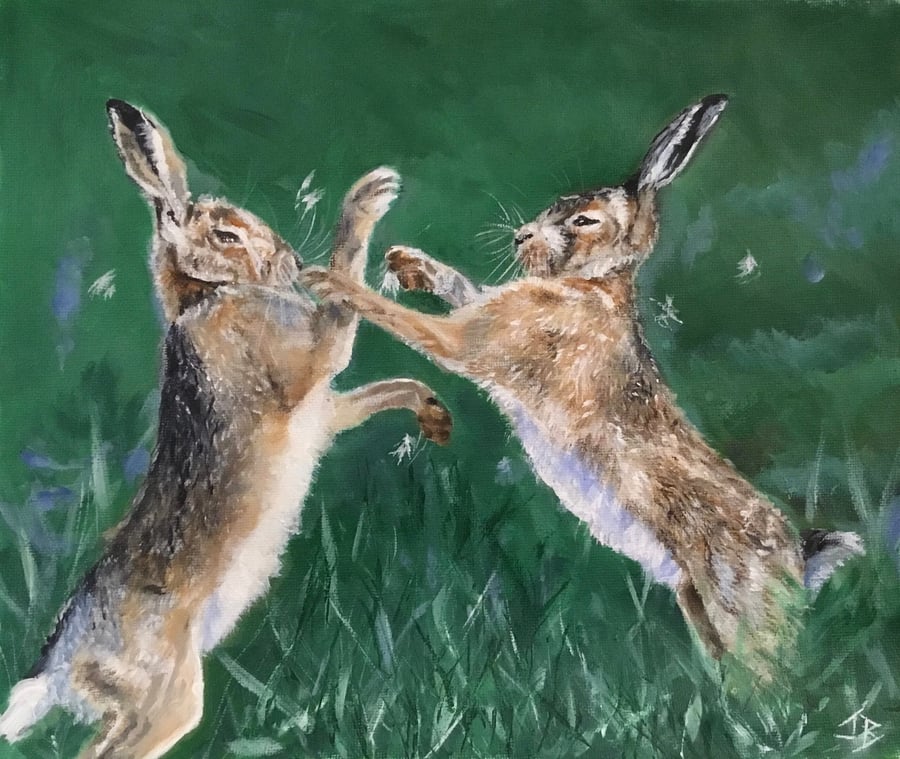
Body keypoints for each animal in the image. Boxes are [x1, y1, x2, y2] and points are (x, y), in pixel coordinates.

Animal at [0, 100, 451, 759]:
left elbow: (378, 391)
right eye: (227, 235)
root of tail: (58, 671)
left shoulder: (322, 411)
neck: (209, 296)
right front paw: (369, 198)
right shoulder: (306, 369)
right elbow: (339, 322)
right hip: (169, 698)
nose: (290, 261)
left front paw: (435, 415)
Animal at [302, 95, 863, 678]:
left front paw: (326, 280)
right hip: (699, 611)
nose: (521, 237)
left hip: (741, 616)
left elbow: (418, 325)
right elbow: (467, 290)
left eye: (584, 220)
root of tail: (800, 562)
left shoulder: (476, 342)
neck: (594, 283)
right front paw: (410, 264)